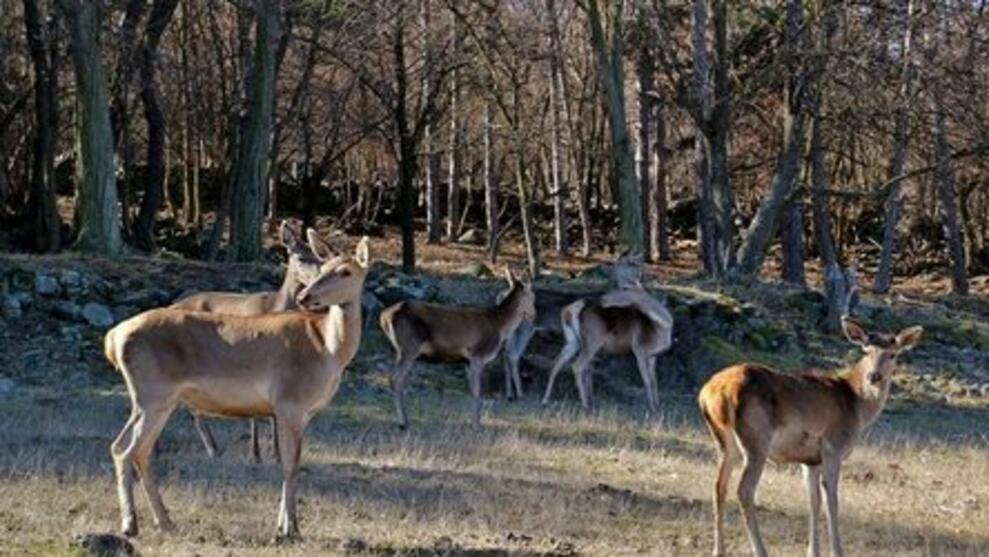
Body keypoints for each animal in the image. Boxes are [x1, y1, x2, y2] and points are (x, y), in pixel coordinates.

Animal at [170, 220, 320, 460]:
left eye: (317, 256)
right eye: (299, 256)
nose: (317, 278)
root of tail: (172, 305)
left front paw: (276, 454)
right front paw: (256, 454)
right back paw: (212, 449)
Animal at [380, 268, 536, 428]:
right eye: (533, 297)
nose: (534, 315)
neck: (499, 327)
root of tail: (384, 317)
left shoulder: (467, 361)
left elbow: (472, 392)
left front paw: (473, 422)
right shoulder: (477, 354)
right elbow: (477, 393)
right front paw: (477, 425)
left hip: (400, 350)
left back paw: (405, 420)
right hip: (408, 347)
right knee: (395, 380)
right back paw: (402, 423)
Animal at [700, 318, 924, 556]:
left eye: (893, 354)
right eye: (866, 351)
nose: (874, 376)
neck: (858, 408)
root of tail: (714, 393)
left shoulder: (809, 460)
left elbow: (813, 501)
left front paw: (813, 551)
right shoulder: (833, 446)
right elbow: (832, 499)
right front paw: (837, 551)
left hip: (723, 442)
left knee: (718, 485)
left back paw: (718, 550)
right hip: (756, 440)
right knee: (744, 490)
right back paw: (760, 550)